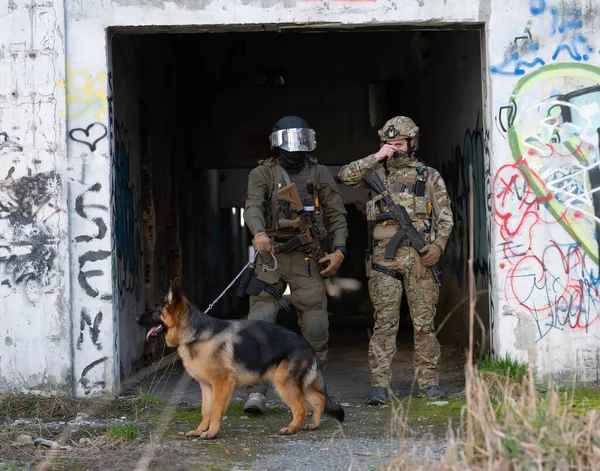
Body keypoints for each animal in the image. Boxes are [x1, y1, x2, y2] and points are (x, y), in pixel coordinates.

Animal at [134, 280, 344, 438]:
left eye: (156, 310)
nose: (135, 319)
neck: (196, 333)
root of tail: (307, 344)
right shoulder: (207, 386)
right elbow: (205, 410)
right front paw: (200, 431)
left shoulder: (222, 383)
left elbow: (216, 409)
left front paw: (211, 433)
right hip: (298, 384)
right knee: (318, 400)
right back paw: (313, 425)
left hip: (284, 383)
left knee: (301, 408)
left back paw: (291, 429)